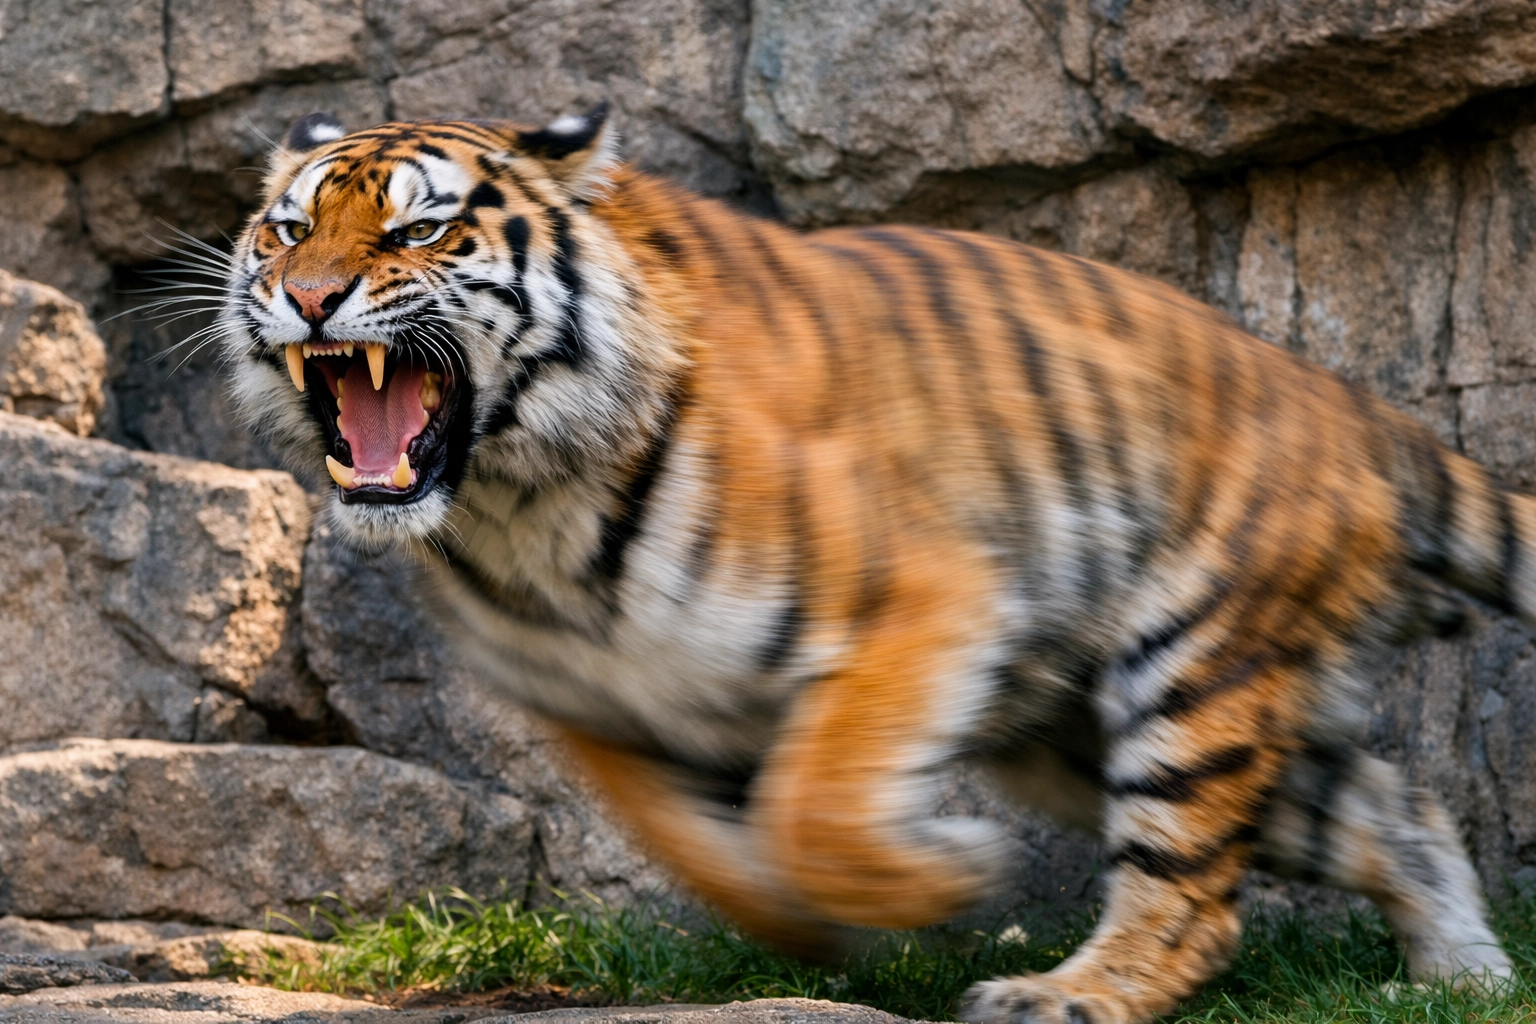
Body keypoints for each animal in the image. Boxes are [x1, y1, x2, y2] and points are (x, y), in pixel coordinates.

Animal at [220, 103, 1526, 1023]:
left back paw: (1065, 993)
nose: (309, 296)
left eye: (418, 228)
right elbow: (710, 854)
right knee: (1398, 809)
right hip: (1086, 730)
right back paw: (1462, 977)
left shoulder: (930, 601)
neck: (526, 502)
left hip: (1190, 672)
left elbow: (813, 810)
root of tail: (1353, 409)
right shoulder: (605, 703)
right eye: (289, 229)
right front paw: (819, 930)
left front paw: (952, 876)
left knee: (1195, 889)